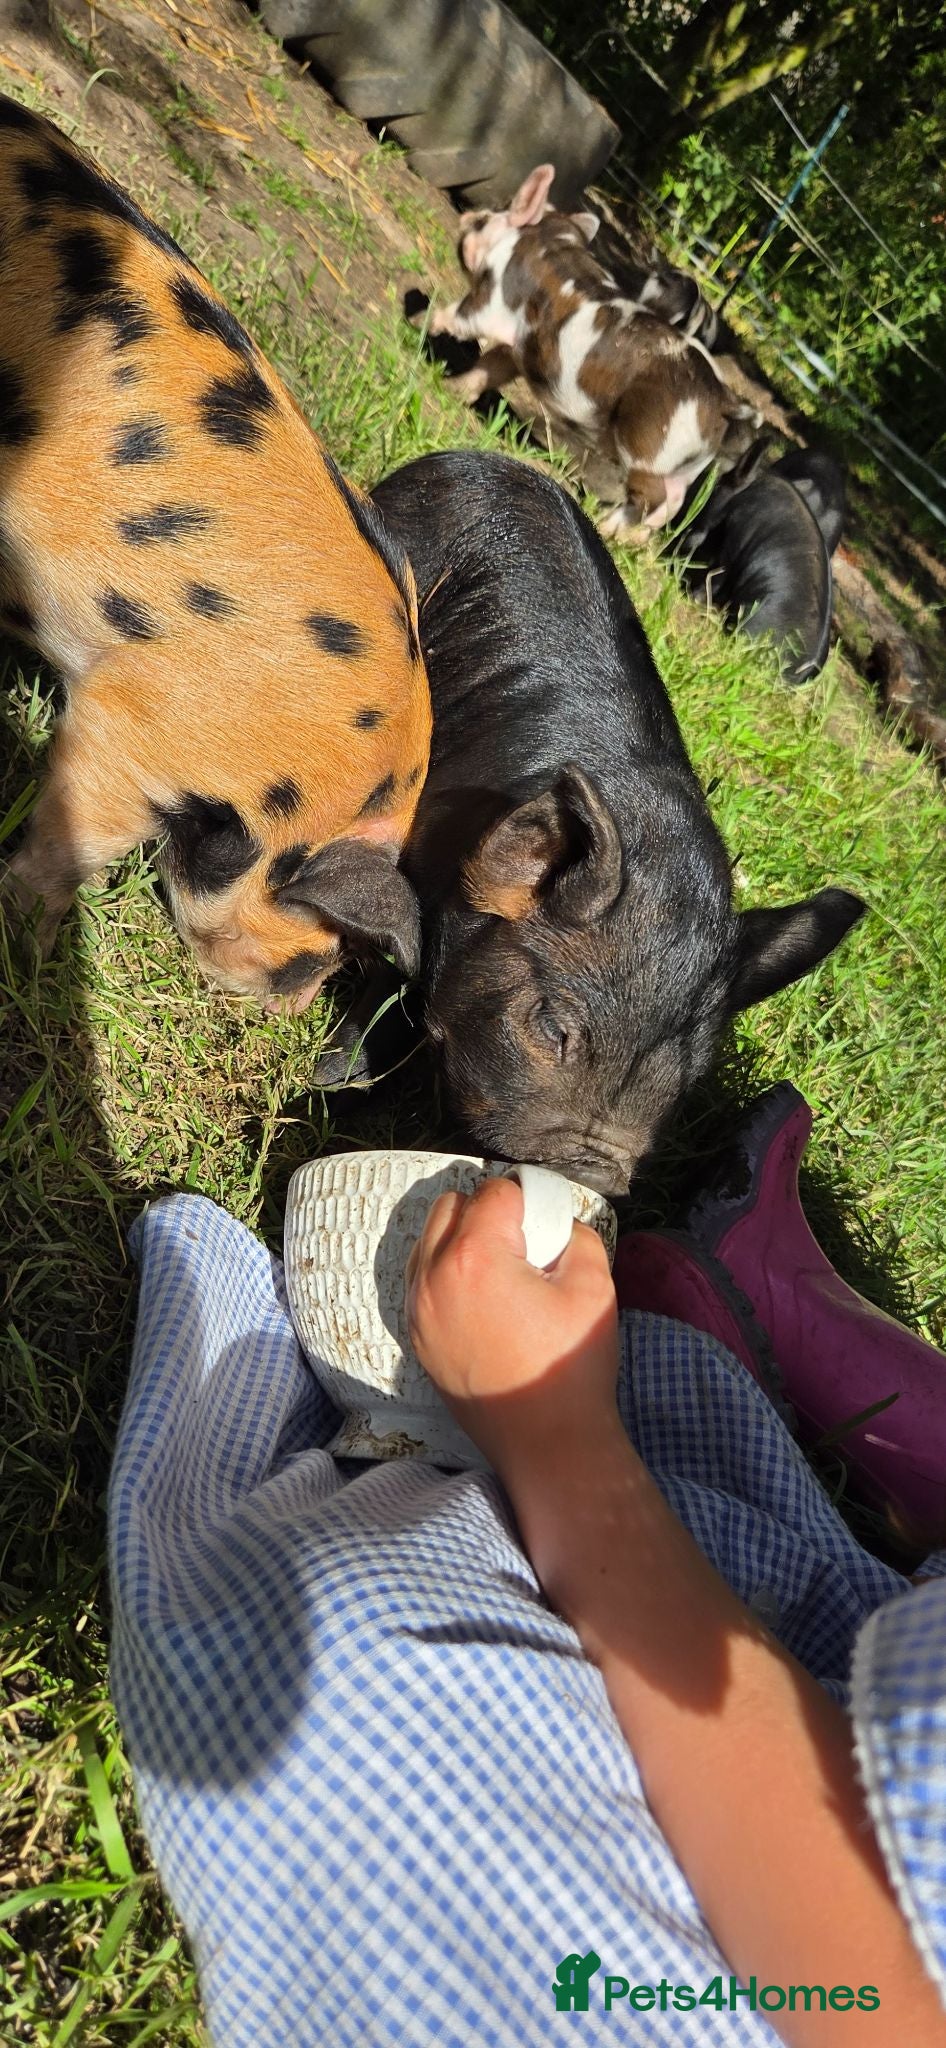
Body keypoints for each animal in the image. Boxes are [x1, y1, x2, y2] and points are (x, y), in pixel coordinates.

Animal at [416, 164, 759, 541]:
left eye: (486, 219)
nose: (467, 218)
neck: (544, 242)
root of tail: (724, 398)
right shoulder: (520, 346)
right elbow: (491, 366)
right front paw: (453, 389)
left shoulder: (492, 300)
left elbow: (460, 317)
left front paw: (420, 321)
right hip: (687, 465)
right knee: (672, 504)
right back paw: (625, 537)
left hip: (651, 453)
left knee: (652, 498)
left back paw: (609, 527)